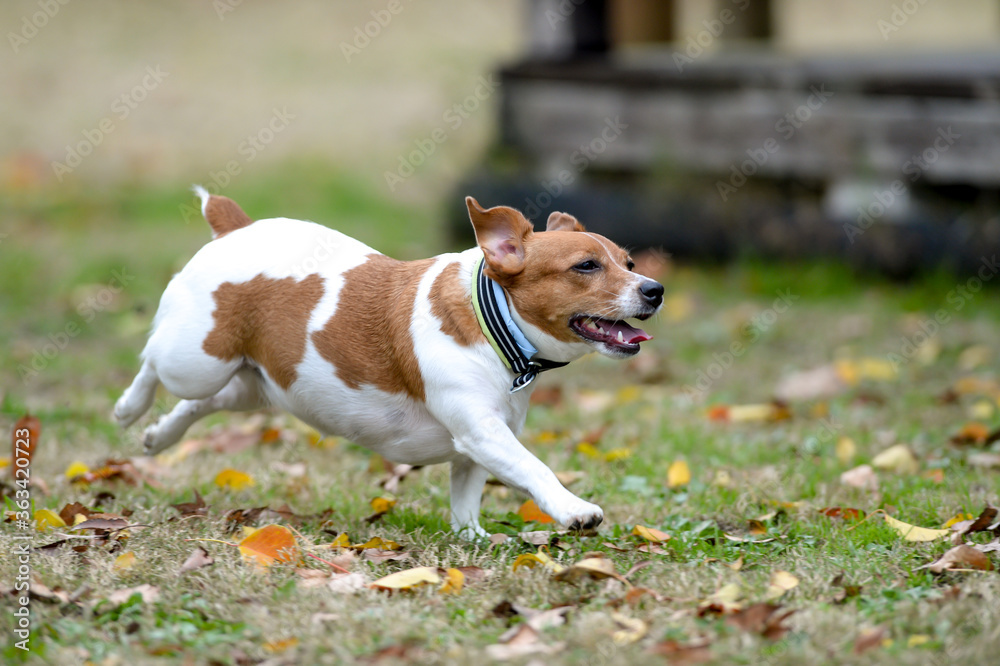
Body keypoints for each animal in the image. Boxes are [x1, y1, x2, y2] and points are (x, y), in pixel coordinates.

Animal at [115, 184, 664, 536]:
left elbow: (466, 505)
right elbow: (536, 470)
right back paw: (129, 407)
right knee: (152, 362)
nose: (655, 289)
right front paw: (573, 510)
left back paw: (159, 435)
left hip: (254, 383)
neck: (491, 319)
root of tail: (236, 228)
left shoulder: (474, 448)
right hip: (196, 359)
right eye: (586, 266)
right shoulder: (484, 431)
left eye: (630, 263)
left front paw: (474, 542)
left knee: (203, 403)